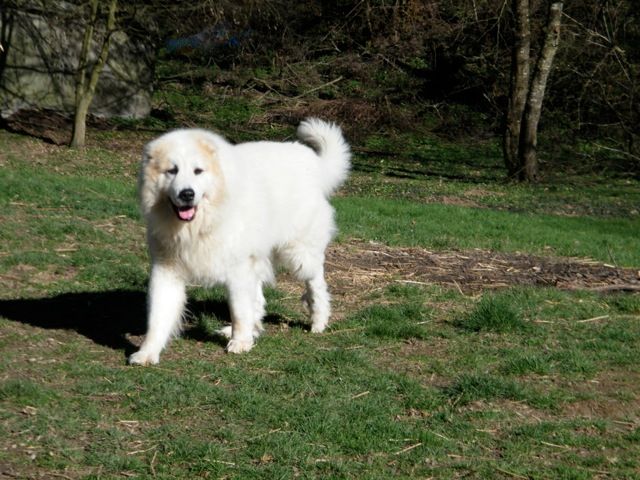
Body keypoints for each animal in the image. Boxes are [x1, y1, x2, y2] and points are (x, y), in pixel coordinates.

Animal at [129, 119, 350, 364]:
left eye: (198, 171)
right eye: (172, 171)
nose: (187, 194)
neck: (201, 225)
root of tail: (313, 162)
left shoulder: (238, 269)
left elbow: (239, 310)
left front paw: (241, 342)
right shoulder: (167, 270)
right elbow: (158, 317)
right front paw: (147, 352)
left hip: (298, 255)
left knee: (316, 283)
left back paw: (318, 321)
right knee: (259, 299)